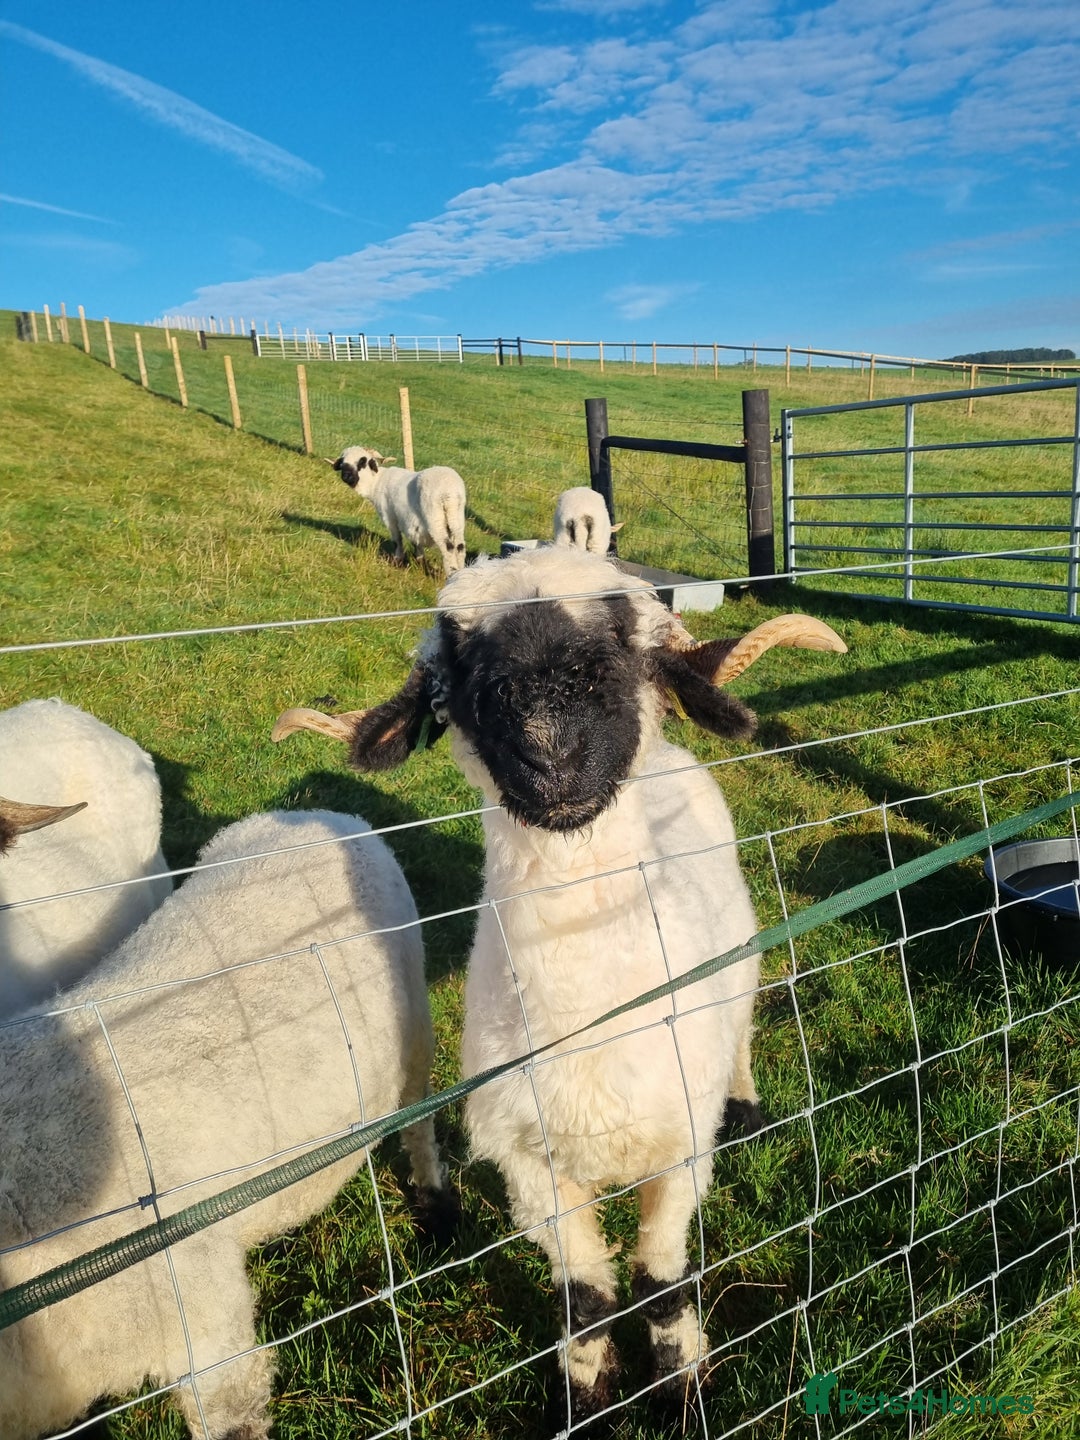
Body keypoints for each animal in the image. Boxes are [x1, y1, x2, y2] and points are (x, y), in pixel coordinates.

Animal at [273, 545, 845, 1421]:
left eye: (629, 640)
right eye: (457, 664)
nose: (552, 753)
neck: (587, 1022)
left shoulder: (678, 1155)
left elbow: (661, 1284)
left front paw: (683, 1392)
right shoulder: (529, 1168)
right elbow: (586, 1300)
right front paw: (583, 1397)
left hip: (741, 966)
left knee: (746, 1023)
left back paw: (746, 1107)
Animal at [327, 445, 467, 578]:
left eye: (362, 461)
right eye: (343, 463)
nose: (346, 476)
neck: (376, 482)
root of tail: (450, 492)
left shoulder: (390, 517)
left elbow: (397, 540)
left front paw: (398, 560)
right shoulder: (412, 523)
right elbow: (416, 543)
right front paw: (420, 562)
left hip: (435, 517)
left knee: (448, 547)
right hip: (456, 518)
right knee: (460, 546)